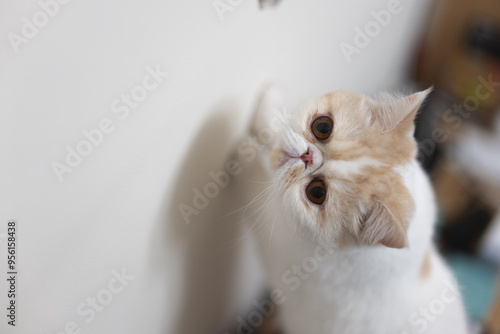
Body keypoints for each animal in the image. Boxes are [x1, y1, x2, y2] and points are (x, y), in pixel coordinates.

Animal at [234, 87, 468, 334]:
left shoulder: (279, 251)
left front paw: (243, 153)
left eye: (317, 192)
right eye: (323, 127)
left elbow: (257, 184)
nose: (306, 156)